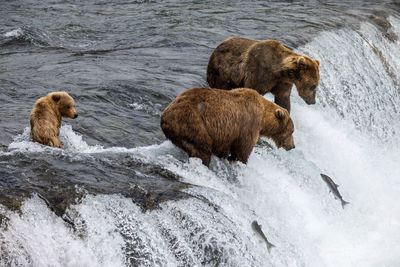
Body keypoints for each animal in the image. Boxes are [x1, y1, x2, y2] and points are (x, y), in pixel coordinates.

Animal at [159, 87, 294, 168]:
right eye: (291, 131)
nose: (292, 146)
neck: (263, 117)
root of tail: (164, 117)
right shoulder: (249, 124)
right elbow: (242, 150)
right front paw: (238, 161)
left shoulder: (227, 135)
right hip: (193, 122)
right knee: (202, 149)